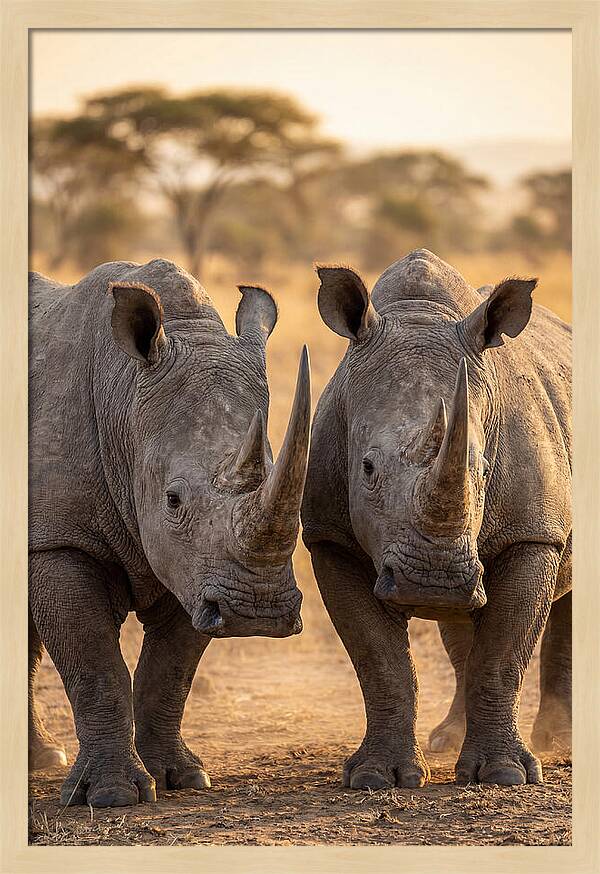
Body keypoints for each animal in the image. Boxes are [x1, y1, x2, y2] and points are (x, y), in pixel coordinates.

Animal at [28, 258, 310, 807]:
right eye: (173, 500)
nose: (257, 612)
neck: (124, 396)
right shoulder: (57, 537)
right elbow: (94, 663)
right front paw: (110, 796)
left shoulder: (198, 569)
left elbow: (169, 670)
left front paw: (181, 777)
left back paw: (42, 759)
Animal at [302, 249, 571, 788]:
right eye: (367, 468)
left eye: (483, 469)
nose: (434, 581)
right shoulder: (329, 537)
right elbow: (379, 662)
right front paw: (377, 777)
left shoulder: (534, 534)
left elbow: (502, 656)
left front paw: (506, 775)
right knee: (461, 625)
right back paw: (448, 739)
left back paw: (560, 741)